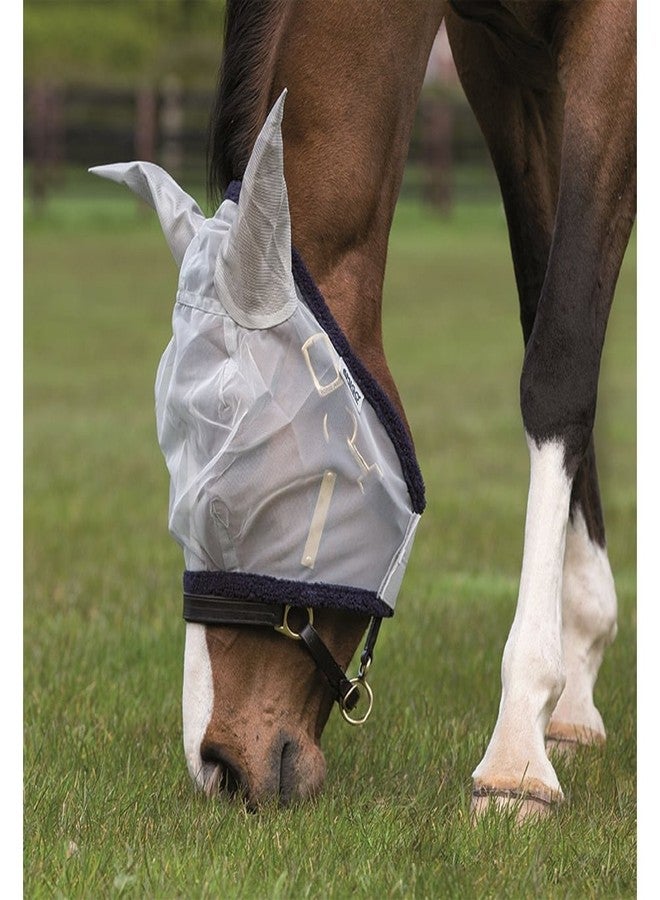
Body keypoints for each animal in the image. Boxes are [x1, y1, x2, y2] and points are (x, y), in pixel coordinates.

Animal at [96, 0, 636, 817]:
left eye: (238, 499)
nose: (217, 764)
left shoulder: (615, 44)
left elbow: (561, 358)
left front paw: (516, 753)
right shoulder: (497, 61)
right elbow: (543, 304)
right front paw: (571, 690)